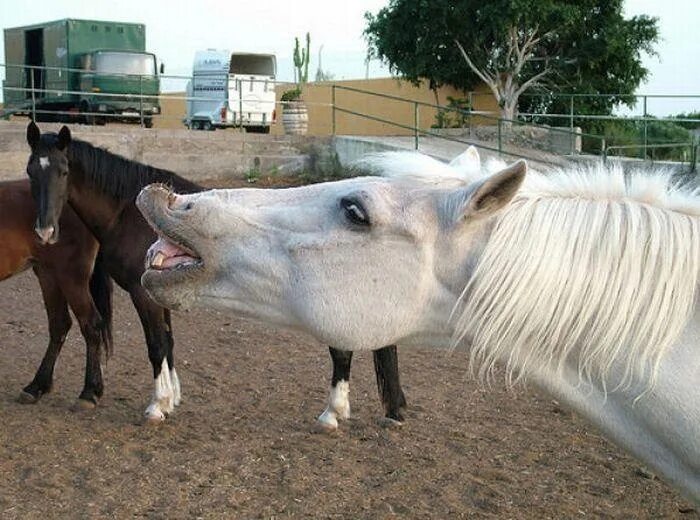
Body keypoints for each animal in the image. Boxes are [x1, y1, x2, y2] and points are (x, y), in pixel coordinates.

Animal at [0, 179, 111, 406]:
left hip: (70, 277)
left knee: (91, 325)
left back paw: (89, 392)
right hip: (48, 274)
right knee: (60, 324)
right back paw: (37, 386)